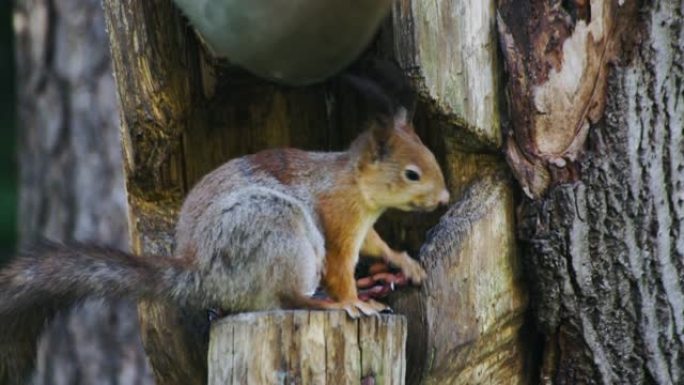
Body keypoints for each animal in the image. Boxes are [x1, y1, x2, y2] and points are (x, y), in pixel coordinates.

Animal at [0, 70, 448, 380]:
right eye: (411, 174)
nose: (444, 199)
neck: (355, 184)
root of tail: (202, 276)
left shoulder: (362, 227)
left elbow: (376, 245)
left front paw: (404, 263)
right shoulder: (338, 221)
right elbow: (341, 266)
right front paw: (352, 300)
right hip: (278, 229)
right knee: (285, 297)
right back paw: (329, 303)